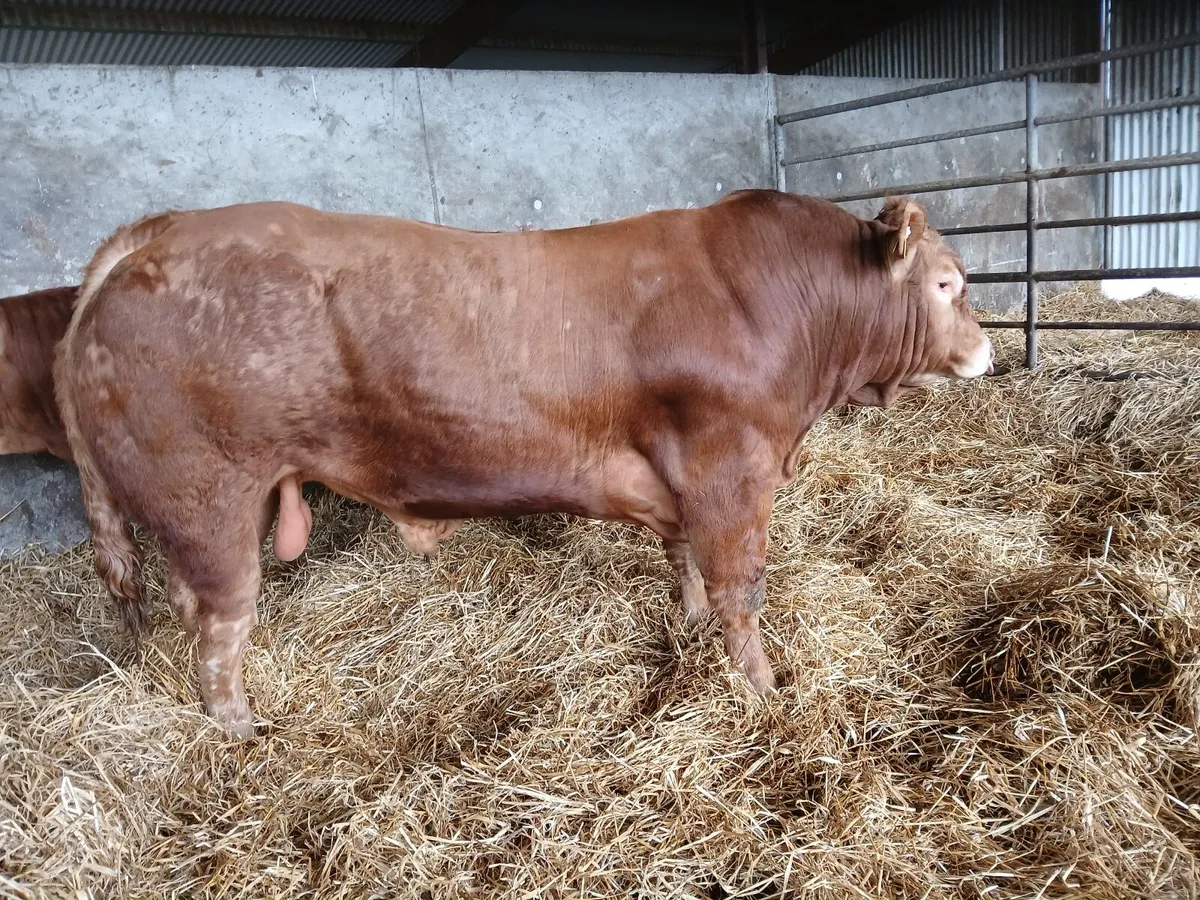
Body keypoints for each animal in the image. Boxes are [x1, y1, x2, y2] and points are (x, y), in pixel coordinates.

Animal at [55, 190, 994, 738]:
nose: (988, 351)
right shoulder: (733, 469)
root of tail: (155, 237)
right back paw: (240, 728)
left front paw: (689, 623)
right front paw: (762, 689)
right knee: (218, 626)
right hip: (207, 500)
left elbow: (682, 557)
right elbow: (741, 588)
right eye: (949, 284)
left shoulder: (683, 480)